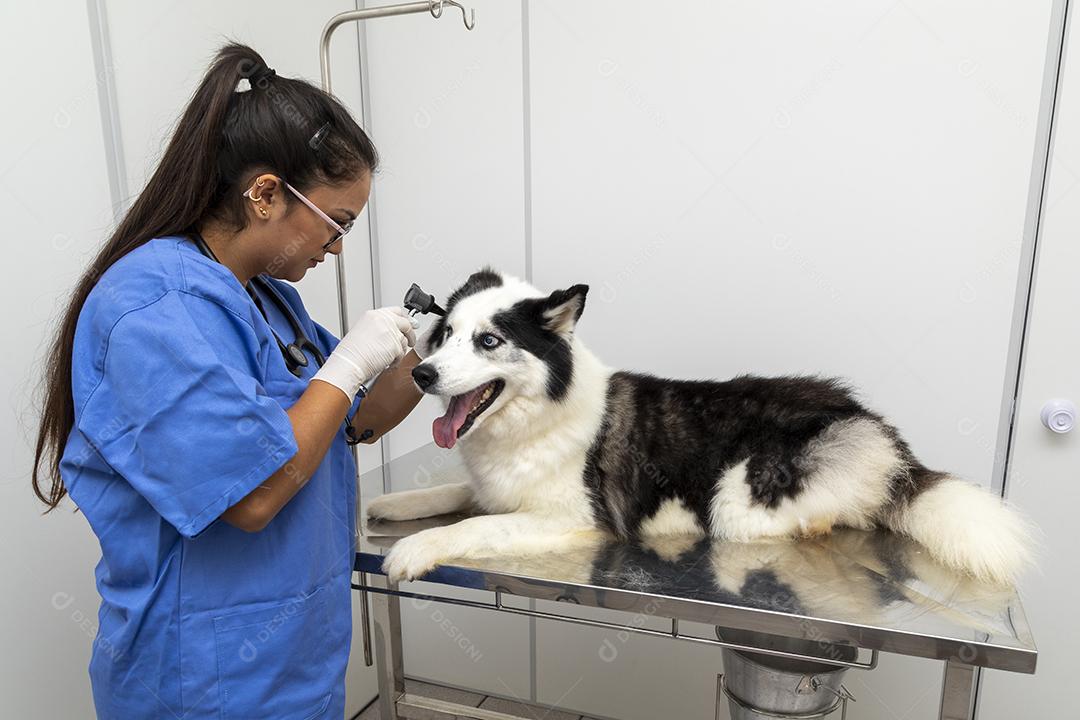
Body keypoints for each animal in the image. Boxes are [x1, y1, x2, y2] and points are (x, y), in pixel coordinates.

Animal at [369, 269, 1028, 587]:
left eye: (489, 341)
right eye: (445, 334)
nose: (422, 374)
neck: (538, 416)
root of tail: (880, 433)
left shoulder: (577, 519)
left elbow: (474, 524)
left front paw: (414, 550)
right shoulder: (491, 486)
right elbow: (452, 494)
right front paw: (392, 506)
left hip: (738, 499)